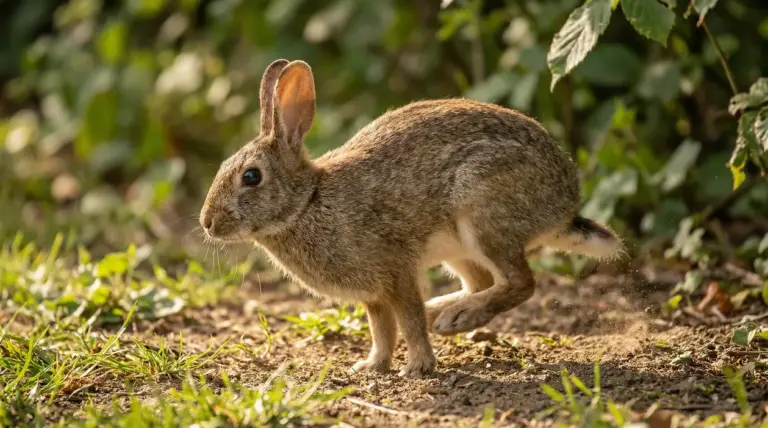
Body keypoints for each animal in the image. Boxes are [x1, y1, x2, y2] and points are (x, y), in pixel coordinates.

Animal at [199, 59, 623, 378]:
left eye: (251, 177)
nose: (207, 223)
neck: (307, 202)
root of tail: (564, 204)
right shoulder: (374, 293)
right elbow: (382, 330)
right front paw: (370, 366)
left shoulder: (395, 270)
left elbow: (408, 321)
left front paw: (417, 367)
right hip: (459, 246)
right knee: (483, 282)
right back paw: (446, 313)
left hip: (481, 211)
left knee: (521, 282)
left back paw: (458, 316)